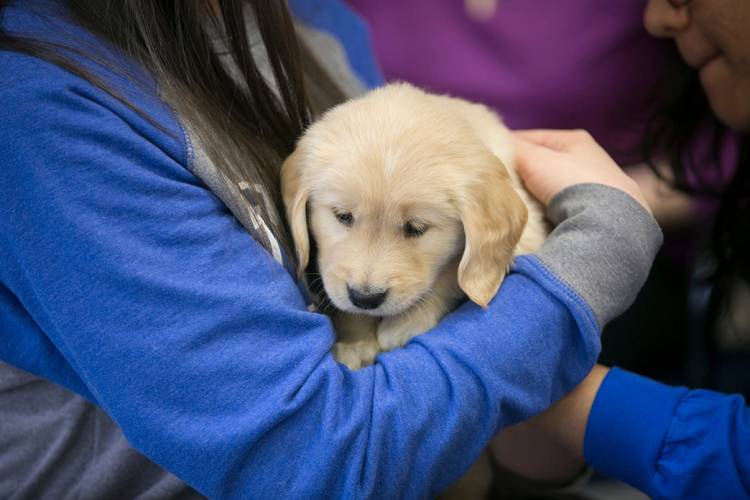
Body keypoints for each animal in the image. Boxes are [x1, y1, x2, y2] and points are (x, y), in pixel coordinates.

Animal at [282, 84, 548, 370]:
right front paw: (354, 341)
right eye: (343, 216)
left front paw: (405, 323)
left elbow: (453, 274)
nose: (365, 298)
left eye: (416, 228)